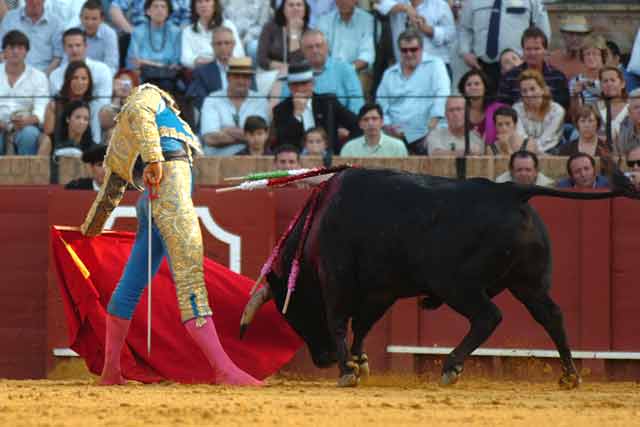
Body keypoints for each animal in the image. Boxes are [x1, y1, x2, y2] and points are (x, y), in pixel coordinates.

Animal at [241, 169, 636, 390]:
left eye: (292, 312)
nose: (321, 359)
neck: (319, 221)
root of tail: (510, 190)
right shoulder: (382, 290)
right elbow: (365, 324)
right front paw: (359, 362)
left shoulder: (336, 279)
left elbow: (340, 321)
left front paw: (347, 370)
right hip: (528, 283)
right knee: (551, 316)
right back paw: (569, 375)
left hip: (455, 284)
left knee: (489, 316)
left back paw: (450, 366)